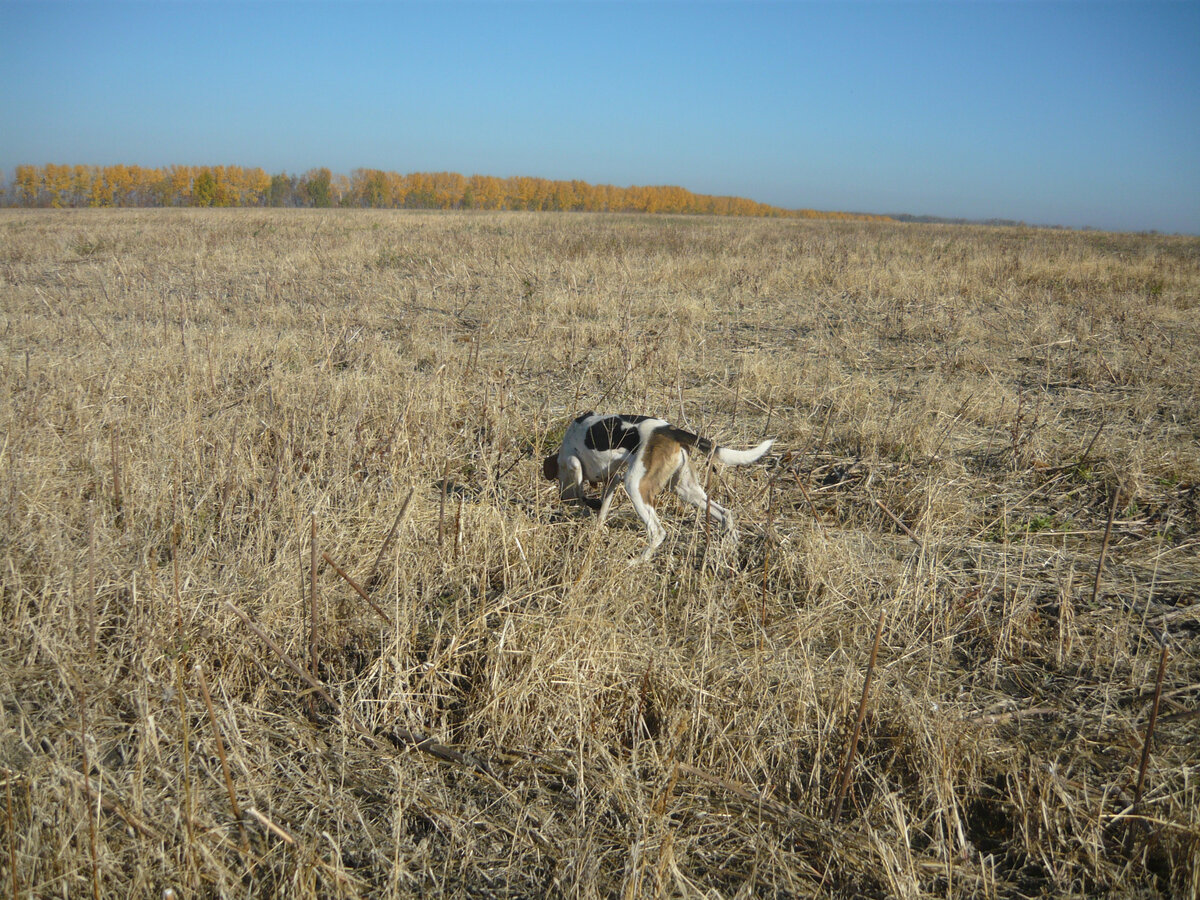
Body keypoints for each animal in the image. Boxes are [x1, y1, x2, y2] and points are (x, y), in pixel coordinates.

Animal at [542, 415, 772, 564]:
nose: (562, 497)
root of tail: (669, 430)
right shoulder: (612, 479)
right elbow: (602, 509)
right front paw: (596, 529)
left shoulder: (574, 463)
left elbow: (582, 490)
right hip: (684, 489)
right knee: (725, 513)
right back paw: (729, 549)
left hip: (635, 486)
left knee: (657, 532)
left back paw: (637, 561)